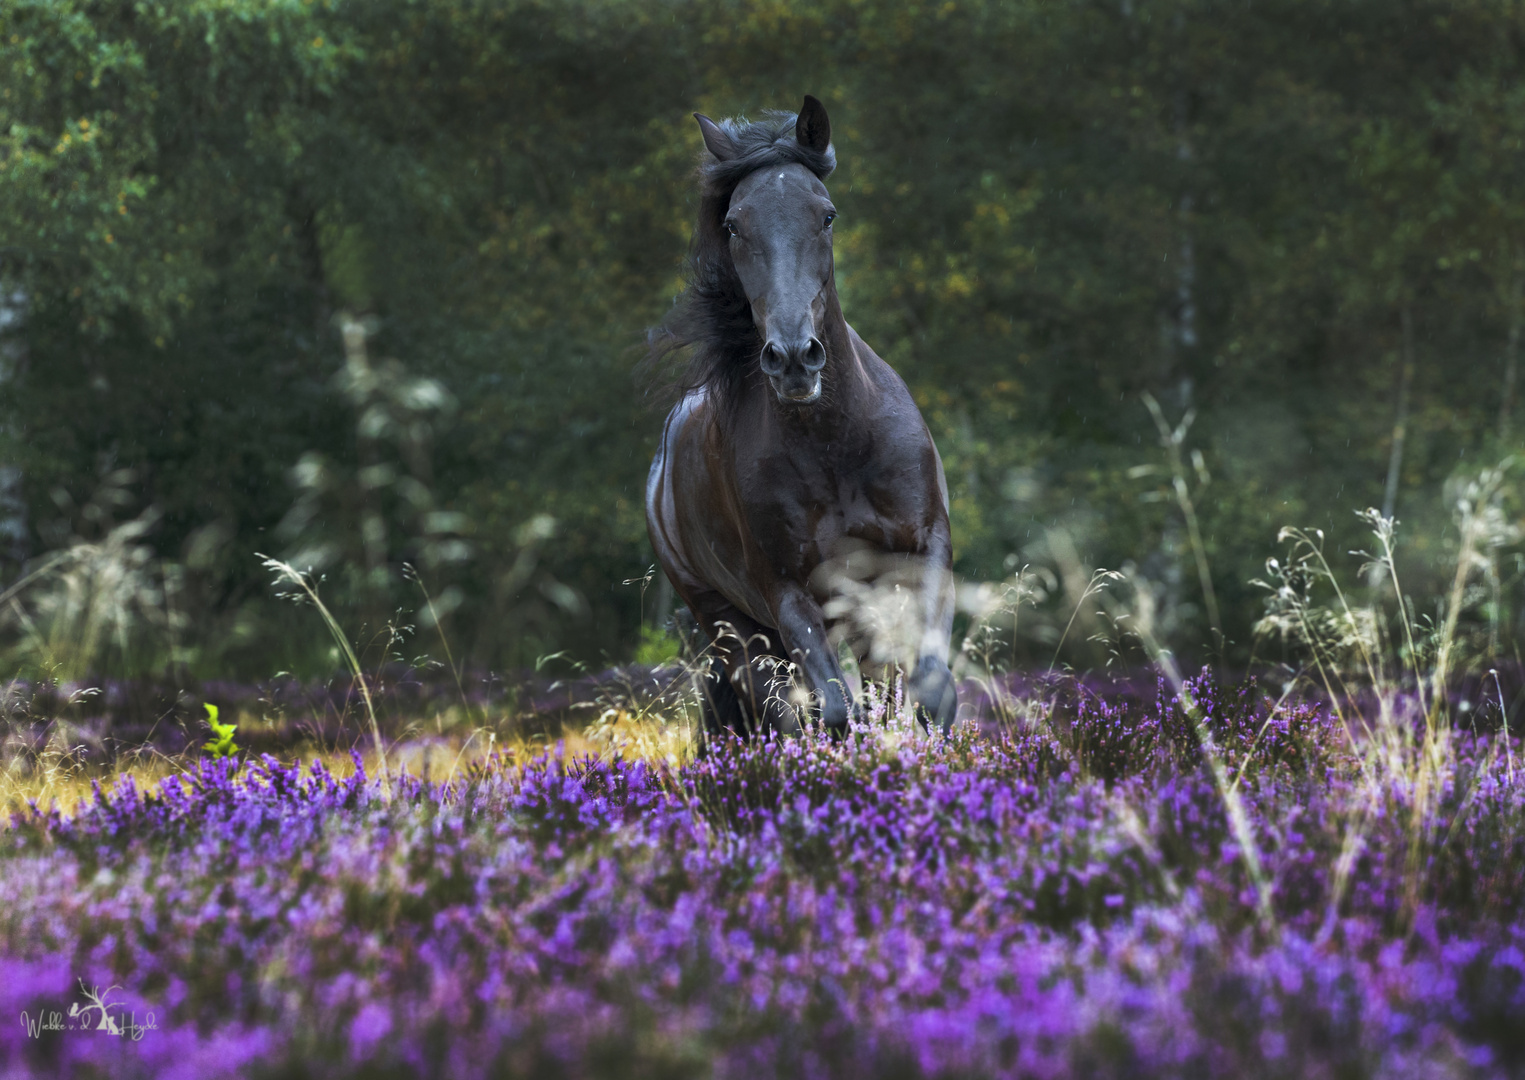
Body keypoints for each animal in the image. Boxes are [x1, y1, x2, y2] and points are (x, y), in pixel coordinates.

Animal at [643, 96, 951, 738]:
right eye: (734, 225)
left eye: (826, 216)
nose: (792, 358)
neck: (836, 445)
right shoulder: (788, 595)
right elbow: (835, 713)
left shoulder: (923, 553)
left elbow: (929, 695)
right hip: (734, 628)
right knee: (778, 712)